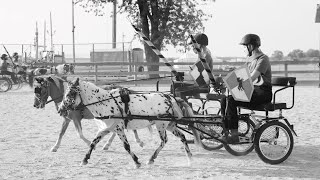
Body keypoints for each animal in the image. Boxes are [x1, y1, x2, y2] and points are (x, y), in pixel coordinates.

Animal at [57, 78, 192, 168]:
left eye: (69, 93)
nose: (60, 109)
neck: (105, 103)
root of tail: (170, 97)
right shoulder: (105, 129)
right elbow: (93, 143)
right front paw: (85, 159)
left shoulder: (119, 129)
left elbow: (126, 146)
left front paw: (137, 162)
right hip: (170, 125)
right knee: (182, 136)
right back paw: (189, 157)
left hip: (161, 125)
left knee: (164, 141)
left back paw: (151, 158)